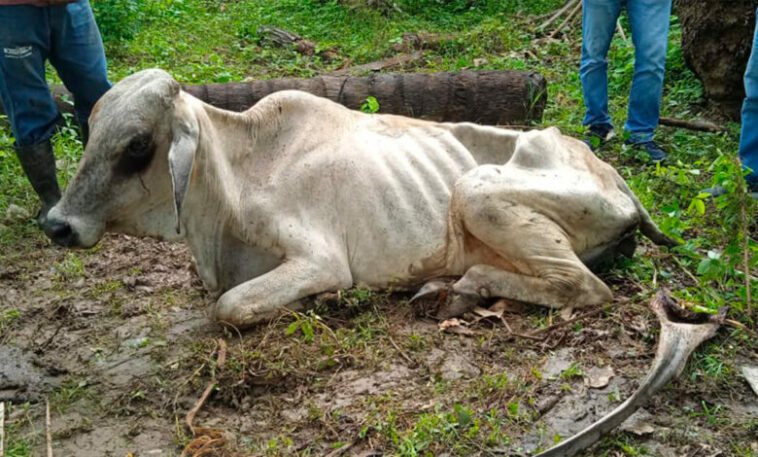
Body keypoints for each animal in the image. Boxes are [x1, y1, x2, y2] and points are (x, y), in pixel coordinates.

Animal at [43, 68, 676, 328]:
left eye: (136, 145)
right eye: (90, 130)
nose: (57, 225)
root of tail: (615, 177)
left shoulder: (319, 259)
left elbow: (228, 307)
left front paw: (318, 303)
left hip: (474, 191)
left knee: (584, 287)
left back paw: (464, 286)